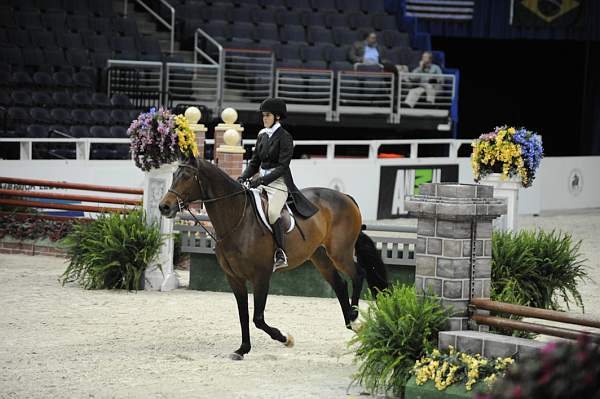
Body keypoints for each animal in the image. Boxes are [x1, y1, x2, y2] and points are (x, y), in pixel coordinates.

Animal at [157, 157, 386, 362]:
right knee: (339, 284)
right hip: (320, 257)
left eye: (187, 177)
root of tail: (345, 196)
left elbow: (258, 318)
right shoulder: (234, 278)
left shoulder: (261, 276)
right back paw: (351, 321)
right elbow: (243, 315)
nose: (164, 207)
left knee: (358, 274)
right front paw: (242, 349)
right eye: (174, 175)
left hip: (339, 253)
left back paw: (354, 318)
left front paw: (286, 339)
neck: (238, 221)